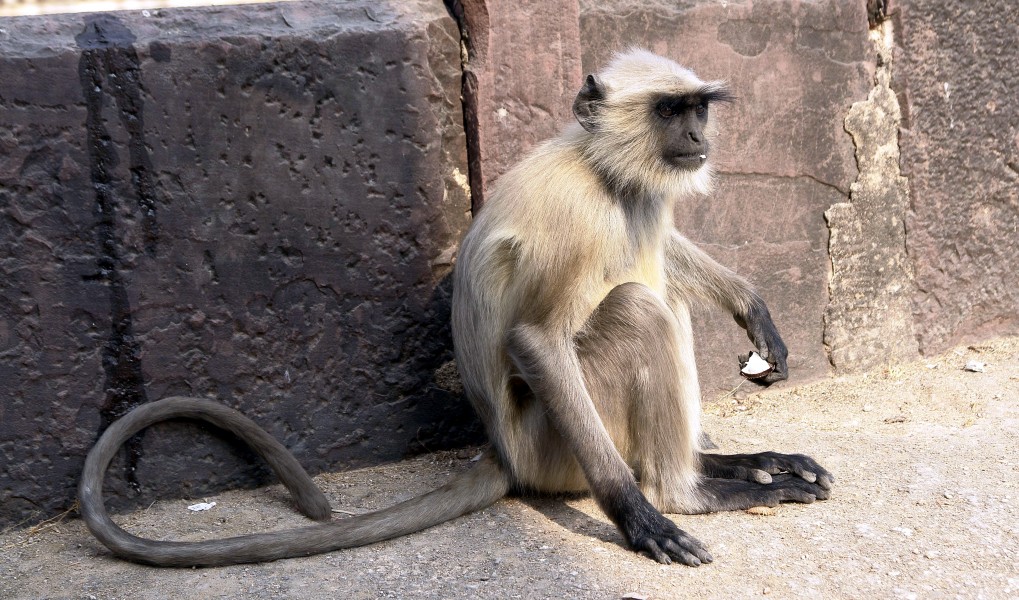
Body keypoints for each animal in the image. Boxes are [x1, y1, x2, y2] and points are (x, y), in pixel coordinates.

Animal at [78, 49, 832, 568]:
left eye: (698, 108)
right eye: (670, 110)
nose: (699, 135)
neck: (600, 167)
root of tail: (505, 452)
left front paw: (753, 310)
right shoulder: (578, 216)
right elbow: (536, 340)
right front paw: (637, 517)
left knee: (659, 295)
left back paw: (730, 463)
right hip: (555, 445)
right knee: (638, 309)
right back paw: (685, 491)